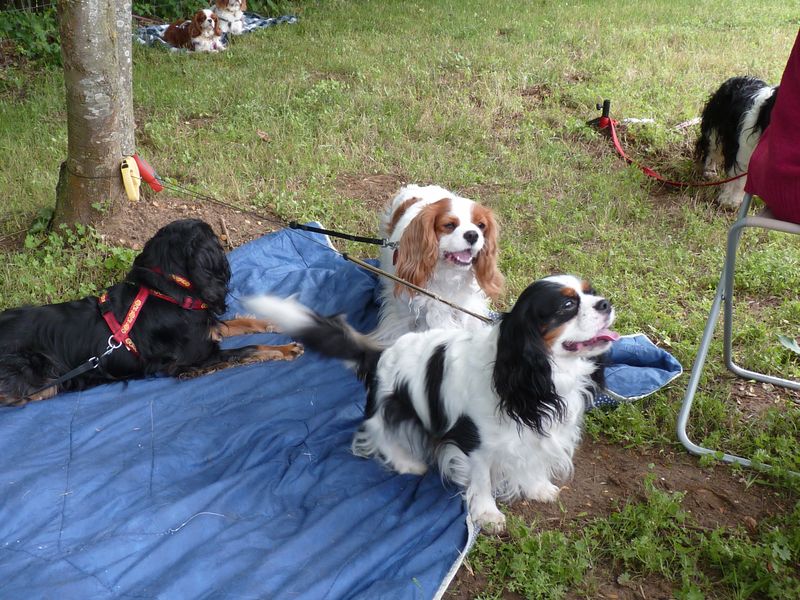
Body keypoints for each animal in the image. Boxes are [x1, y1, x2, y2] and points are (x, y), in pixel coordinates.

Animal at [0, 219, 301, 407]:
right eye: (213, 236)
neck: (167, 291)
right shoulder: (195, 359)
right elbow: (248, 349)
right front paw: (285, 350)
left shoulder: (205, 330)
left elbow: (241, 323)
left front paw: (277, 322)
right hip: (42, 379)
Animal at [245, 274, 617, 532]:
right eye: (568, 306)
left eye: (592, 292)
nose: (606, 303)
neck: (535, 372)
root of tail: (378, 355)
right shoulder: (474, 443)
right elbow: (482, 479)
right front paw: (487, 513)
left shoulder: (536, 430)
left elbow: (534, 458)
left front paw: (539, 487)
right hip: (389, 406)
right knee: (375, 430)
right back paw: (407, 463)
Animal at [375, 184, 504, 344]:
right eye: (449, 225)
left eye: (481, 225)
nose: (473, 234)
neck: (447, 273)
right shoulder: (402, 315)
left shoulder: (465, 310)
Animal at [695, 76, 779, 208]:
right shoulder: (744, 152)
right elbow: (739, 179)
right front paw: (730, 201)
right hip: (715, 127)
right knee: (712, 150)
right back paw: (709, 171)